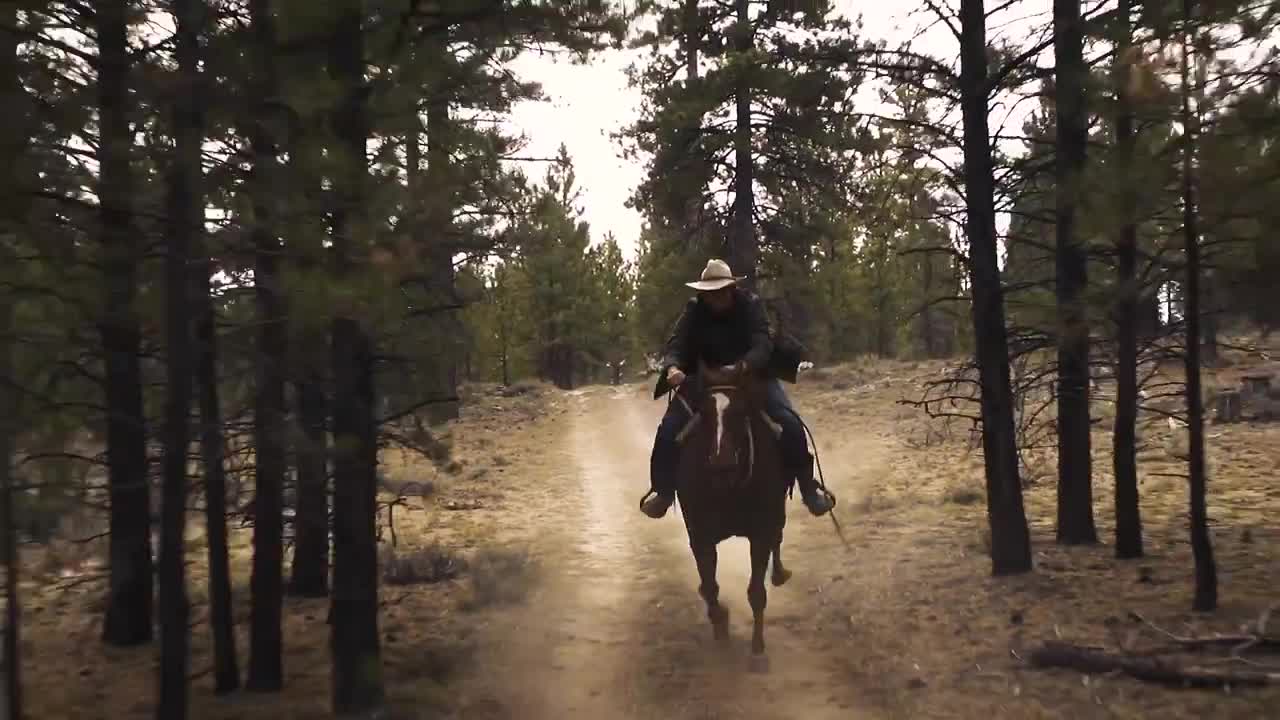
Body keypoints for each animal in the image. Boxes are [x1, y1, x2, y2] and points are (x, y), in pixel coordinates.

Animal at [670, 358, 788, 666]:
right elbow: (710, 586)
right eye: (704, 413)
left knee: (778, 536)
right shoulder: (700, 536)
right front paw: (721, 625)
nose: (721, 465)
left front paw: (757, 650)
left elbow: (757, 592)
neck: (729, 489)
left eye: (740, 411)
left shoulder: (759, 534)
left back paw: (780, 573)